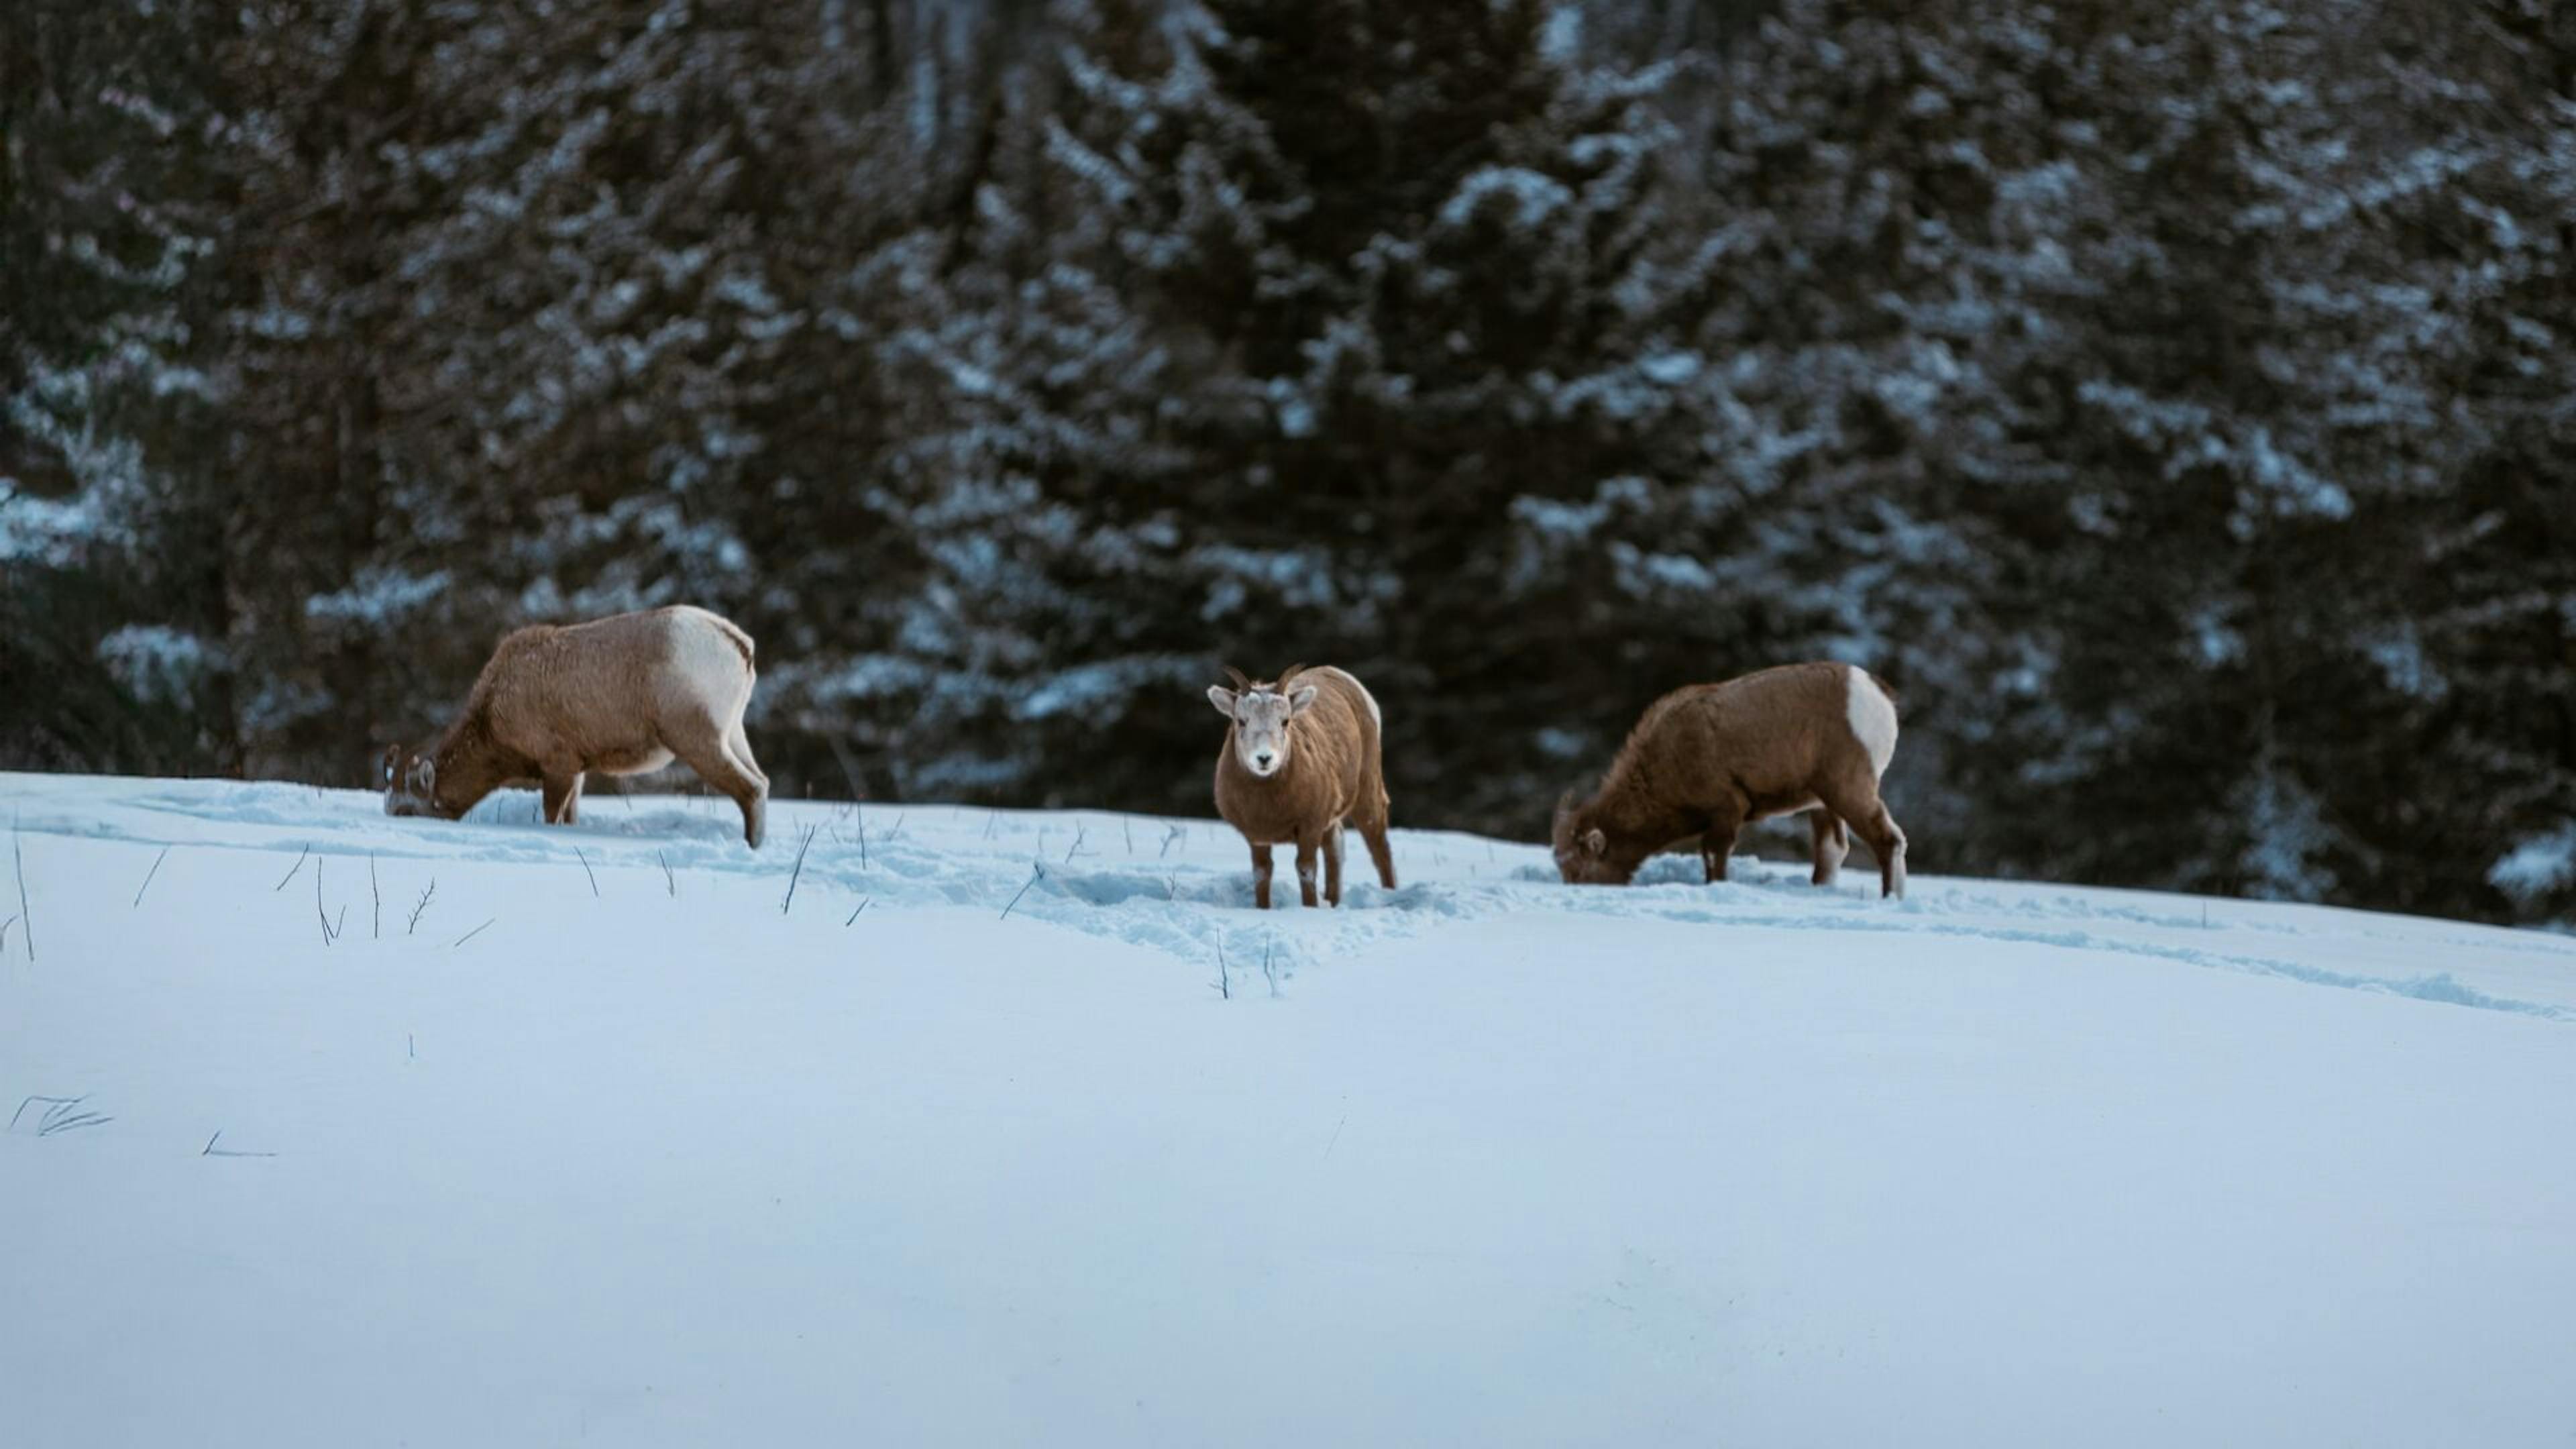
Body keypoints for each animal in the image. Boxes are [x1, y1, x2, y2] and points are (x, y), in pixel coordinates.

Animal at [380, 605, 770, 849]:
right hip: (732, 737)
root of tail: (739, 645)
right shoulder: (577, 772)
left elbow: (553, 818)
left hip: (698, 741)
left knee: (750, 790)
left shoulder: (559, 768)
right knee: (761, 782)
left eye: (405, 811)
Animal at [1207, 664, 1397, 909]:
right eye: (1241, 721)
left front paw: (1310, 908)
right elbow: (1262, 873)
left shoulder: (1310, 826)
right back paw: (1332, 901)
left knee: (1379, 848)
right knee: (1335, 847)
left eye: (1285, 721)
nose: (1264, 759)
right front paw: (1263, 909)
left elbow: (1306, 870)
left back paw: (1390, 894)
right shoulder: (1257, 835)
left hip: (1367, 793)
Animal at [1552, 661, 1907, 897]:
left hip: (1848, 789)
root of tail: (1879, 694)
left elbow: (1714, 855)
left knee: (1889, 840)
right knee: (1832, 849)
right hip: (1823, 801)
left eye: (1578, 869)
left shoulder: (1726, 809)